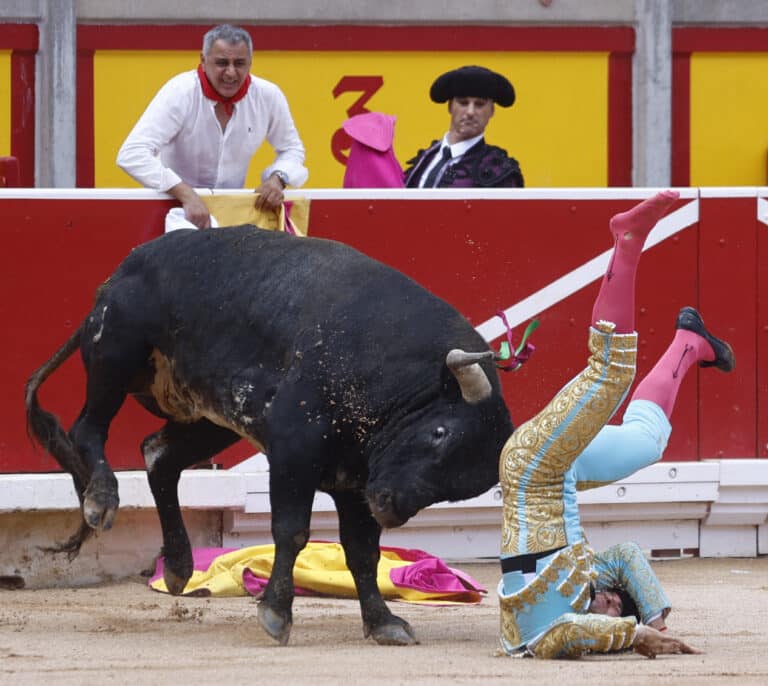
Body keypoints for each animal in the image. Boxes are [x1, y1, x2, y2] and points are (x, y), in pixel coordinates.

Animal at [25, 226, 516, 644]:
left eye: (455, 489)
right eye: (439, 432)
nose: (390, 507)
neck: (389, 369)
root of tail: (118, 274)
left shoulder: (356, 482)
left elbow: (362, 552)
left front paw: (382, 622)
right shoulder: (293, 451)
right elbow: (292, 530)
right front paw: (277, 613)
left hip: (210, 420)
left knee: (158, 456)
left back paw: (180, 567)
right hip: (116, 353)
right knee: (88, 428)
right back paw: (101, 499)